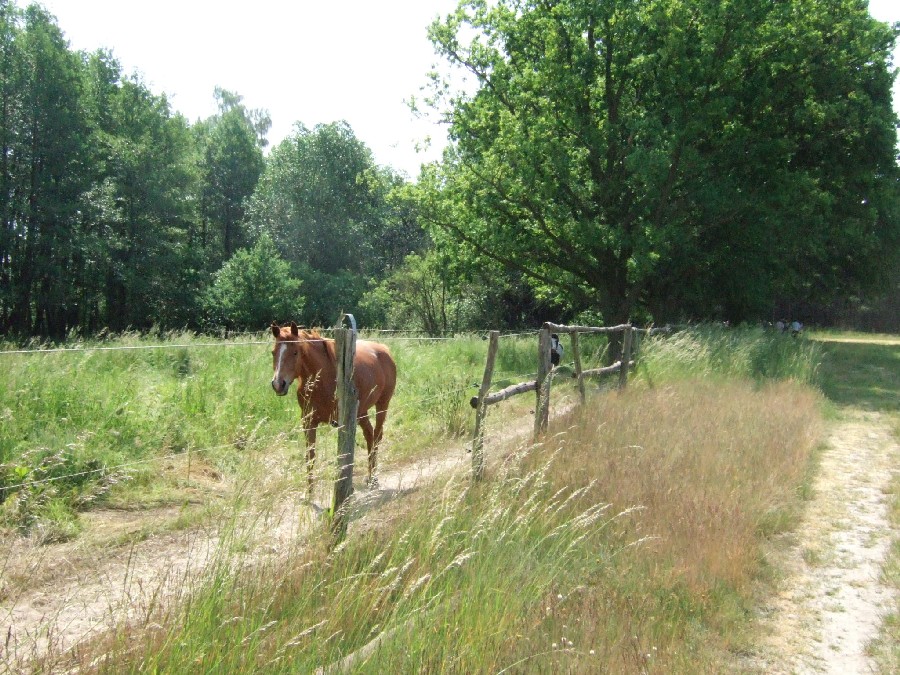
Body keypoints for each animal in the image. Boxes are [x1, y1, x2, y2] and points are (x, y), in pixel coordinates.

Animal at [270, 322, 398, 492]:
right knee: (370, 435)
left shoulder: (342, 423)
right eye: (273, 352)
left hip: (382, 404)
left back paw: (373, 479)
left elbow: (342, 456)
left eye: (295, 352)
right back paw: (370, 477)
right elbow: (310, 457)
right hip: (361, 412)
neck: (323, 378)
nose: (278, 384)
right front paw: (309, 494)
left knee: (377, 436)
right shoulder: (308, 423)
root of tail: (384, 350)